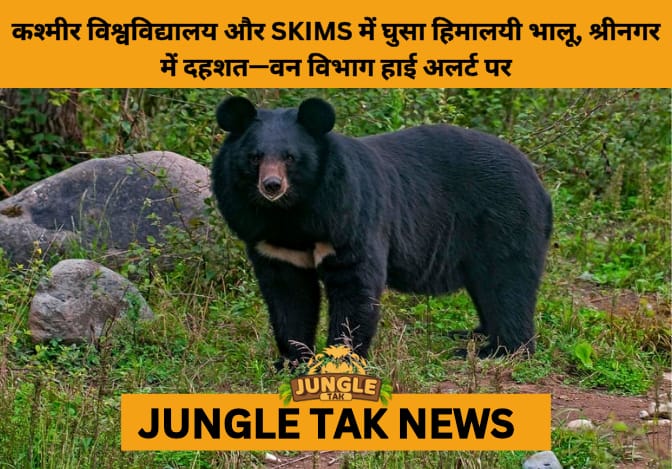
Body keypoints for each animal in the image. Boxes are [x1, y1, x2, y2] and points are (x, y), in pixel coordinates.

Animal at [211, 96, 553, 367]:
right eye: (255, 157)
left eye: (290, 157)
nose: (272, 186)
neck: (291, 214)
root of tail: (537, 182)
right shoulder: (271, 241)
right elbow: (288, 296)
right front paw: (292, 361)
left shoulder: (347, 216)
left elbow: (354, 285)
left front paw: (340, 360)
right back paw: (472, 333)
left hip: (504, 220)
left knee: (507, 283)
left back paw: (498, 350)